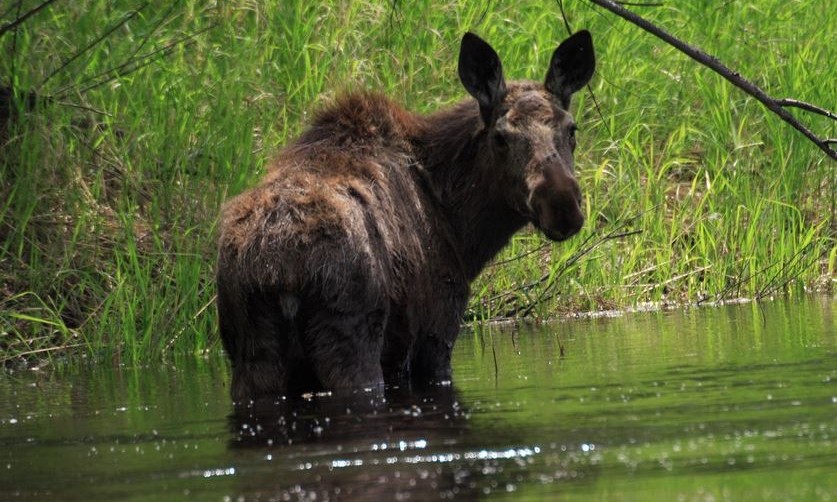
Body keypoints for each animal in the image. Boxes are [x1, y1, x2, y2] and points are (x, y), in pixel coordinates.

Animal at [216, 31, 596, 402]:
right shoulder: (437, 331)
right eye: (501, 137)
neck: (464, 233)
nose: (561, 203)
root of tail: (279, 272)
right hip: (350, 345)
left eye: (571, 128)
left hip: (253, 359)